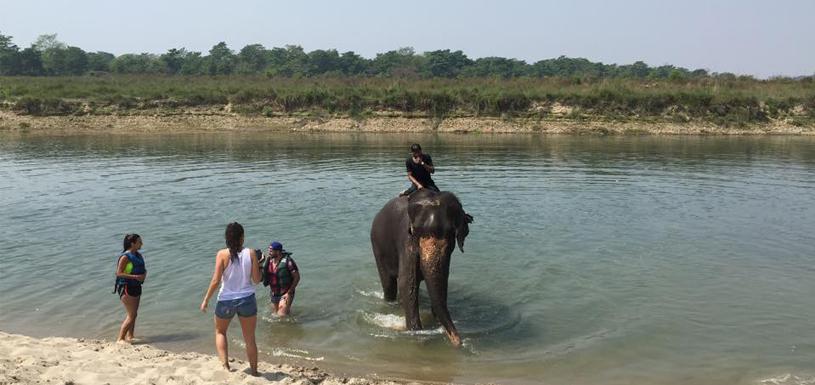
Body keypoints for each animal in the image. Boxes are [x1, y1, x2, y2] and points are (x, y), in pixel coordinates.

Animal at [370, 188, 472, 344]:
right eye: (415, 231)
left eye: (451, 233)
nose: (459, 342)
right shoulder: (407, 242)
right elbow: (407, 283)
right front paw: (417, 332)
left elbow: (442, 282)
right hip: (377, 246)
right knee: (389, 283)